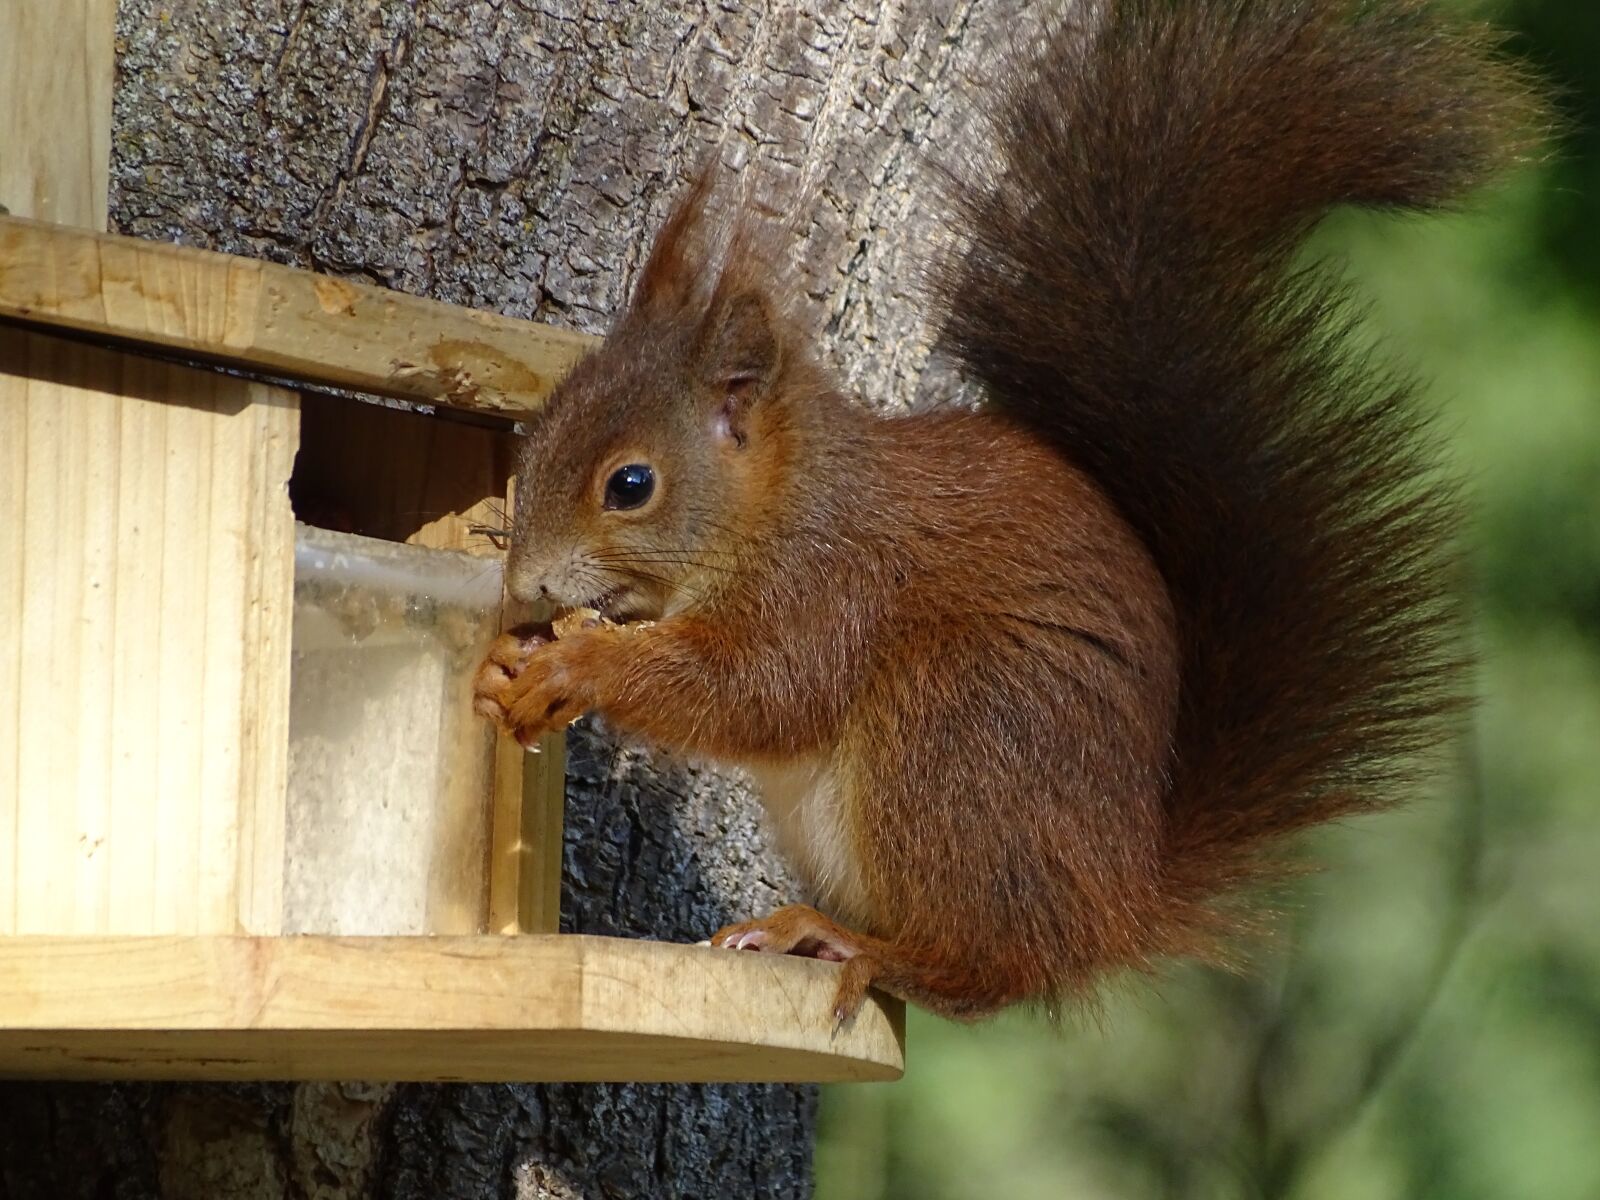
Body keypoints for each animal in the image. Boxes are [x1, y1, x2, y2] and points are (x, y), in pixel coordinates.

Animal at [470, 0, 1536, 1024]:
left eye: (631, 485)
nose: (527, 581)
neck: (776, 505)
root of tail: (1119, 902)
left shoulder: (833, 583)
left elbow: (762, 691)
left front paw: (581, 664)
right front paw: (505, 660)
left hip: (959, 724)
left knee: (990, 971)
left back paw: (849, 943)